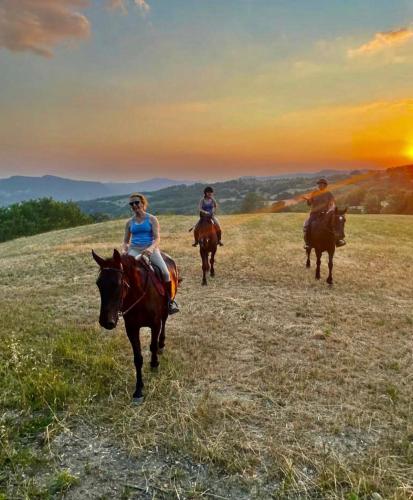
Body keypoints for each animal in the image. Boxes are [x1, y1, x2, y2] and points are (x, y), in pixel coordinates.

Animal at [92, 248, 179, 404]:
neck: (139, 296)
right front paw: (138, 390)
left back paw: (162, 344)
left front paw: (154, 364)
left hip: (165, 311)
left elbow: (153, 346)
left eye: (117, 284)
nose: (106, 322)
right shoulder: (132, 329)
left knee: (164, 322)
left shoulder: (155, 324)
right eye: (98, 283)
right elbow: (137, 358)